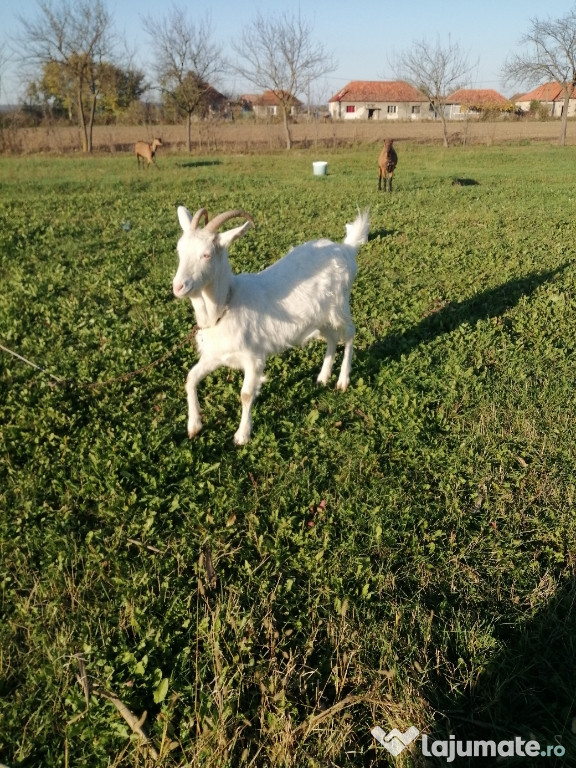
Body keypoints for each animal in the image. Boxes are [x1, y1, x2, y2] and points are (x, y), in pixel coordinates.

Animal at [172, 207, 370, 444]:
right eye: (179, 250)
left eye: (206, 254)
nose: (178, 286)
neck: (227, 305)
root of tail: (346, 249)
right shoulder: (216, 356)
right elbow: (190, 378)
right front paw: (194, 426)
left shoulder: (253, 357)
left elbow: (246, 394)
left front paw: (242, 435)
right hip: (319, 317)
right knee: (332, 338)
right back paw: (323, 377)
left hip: (339, 307)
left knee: (349, 333)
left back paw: (342, 380)